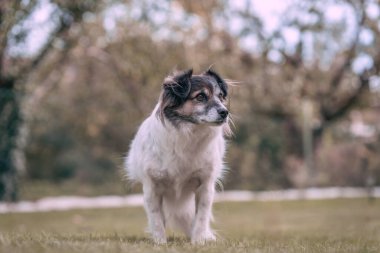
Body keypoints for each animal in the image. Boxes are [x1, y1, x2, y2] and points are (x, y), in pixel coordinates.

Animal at [126, 68, 230, 244]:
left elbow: (201, 217)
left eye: (221, 96)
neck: (188, 133)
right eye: (201, 96)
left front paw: (198, 241)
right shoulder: (152, 187)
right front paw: (160, 242)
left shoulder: (205, 185)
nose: (225, 112)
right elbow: (156, 219)